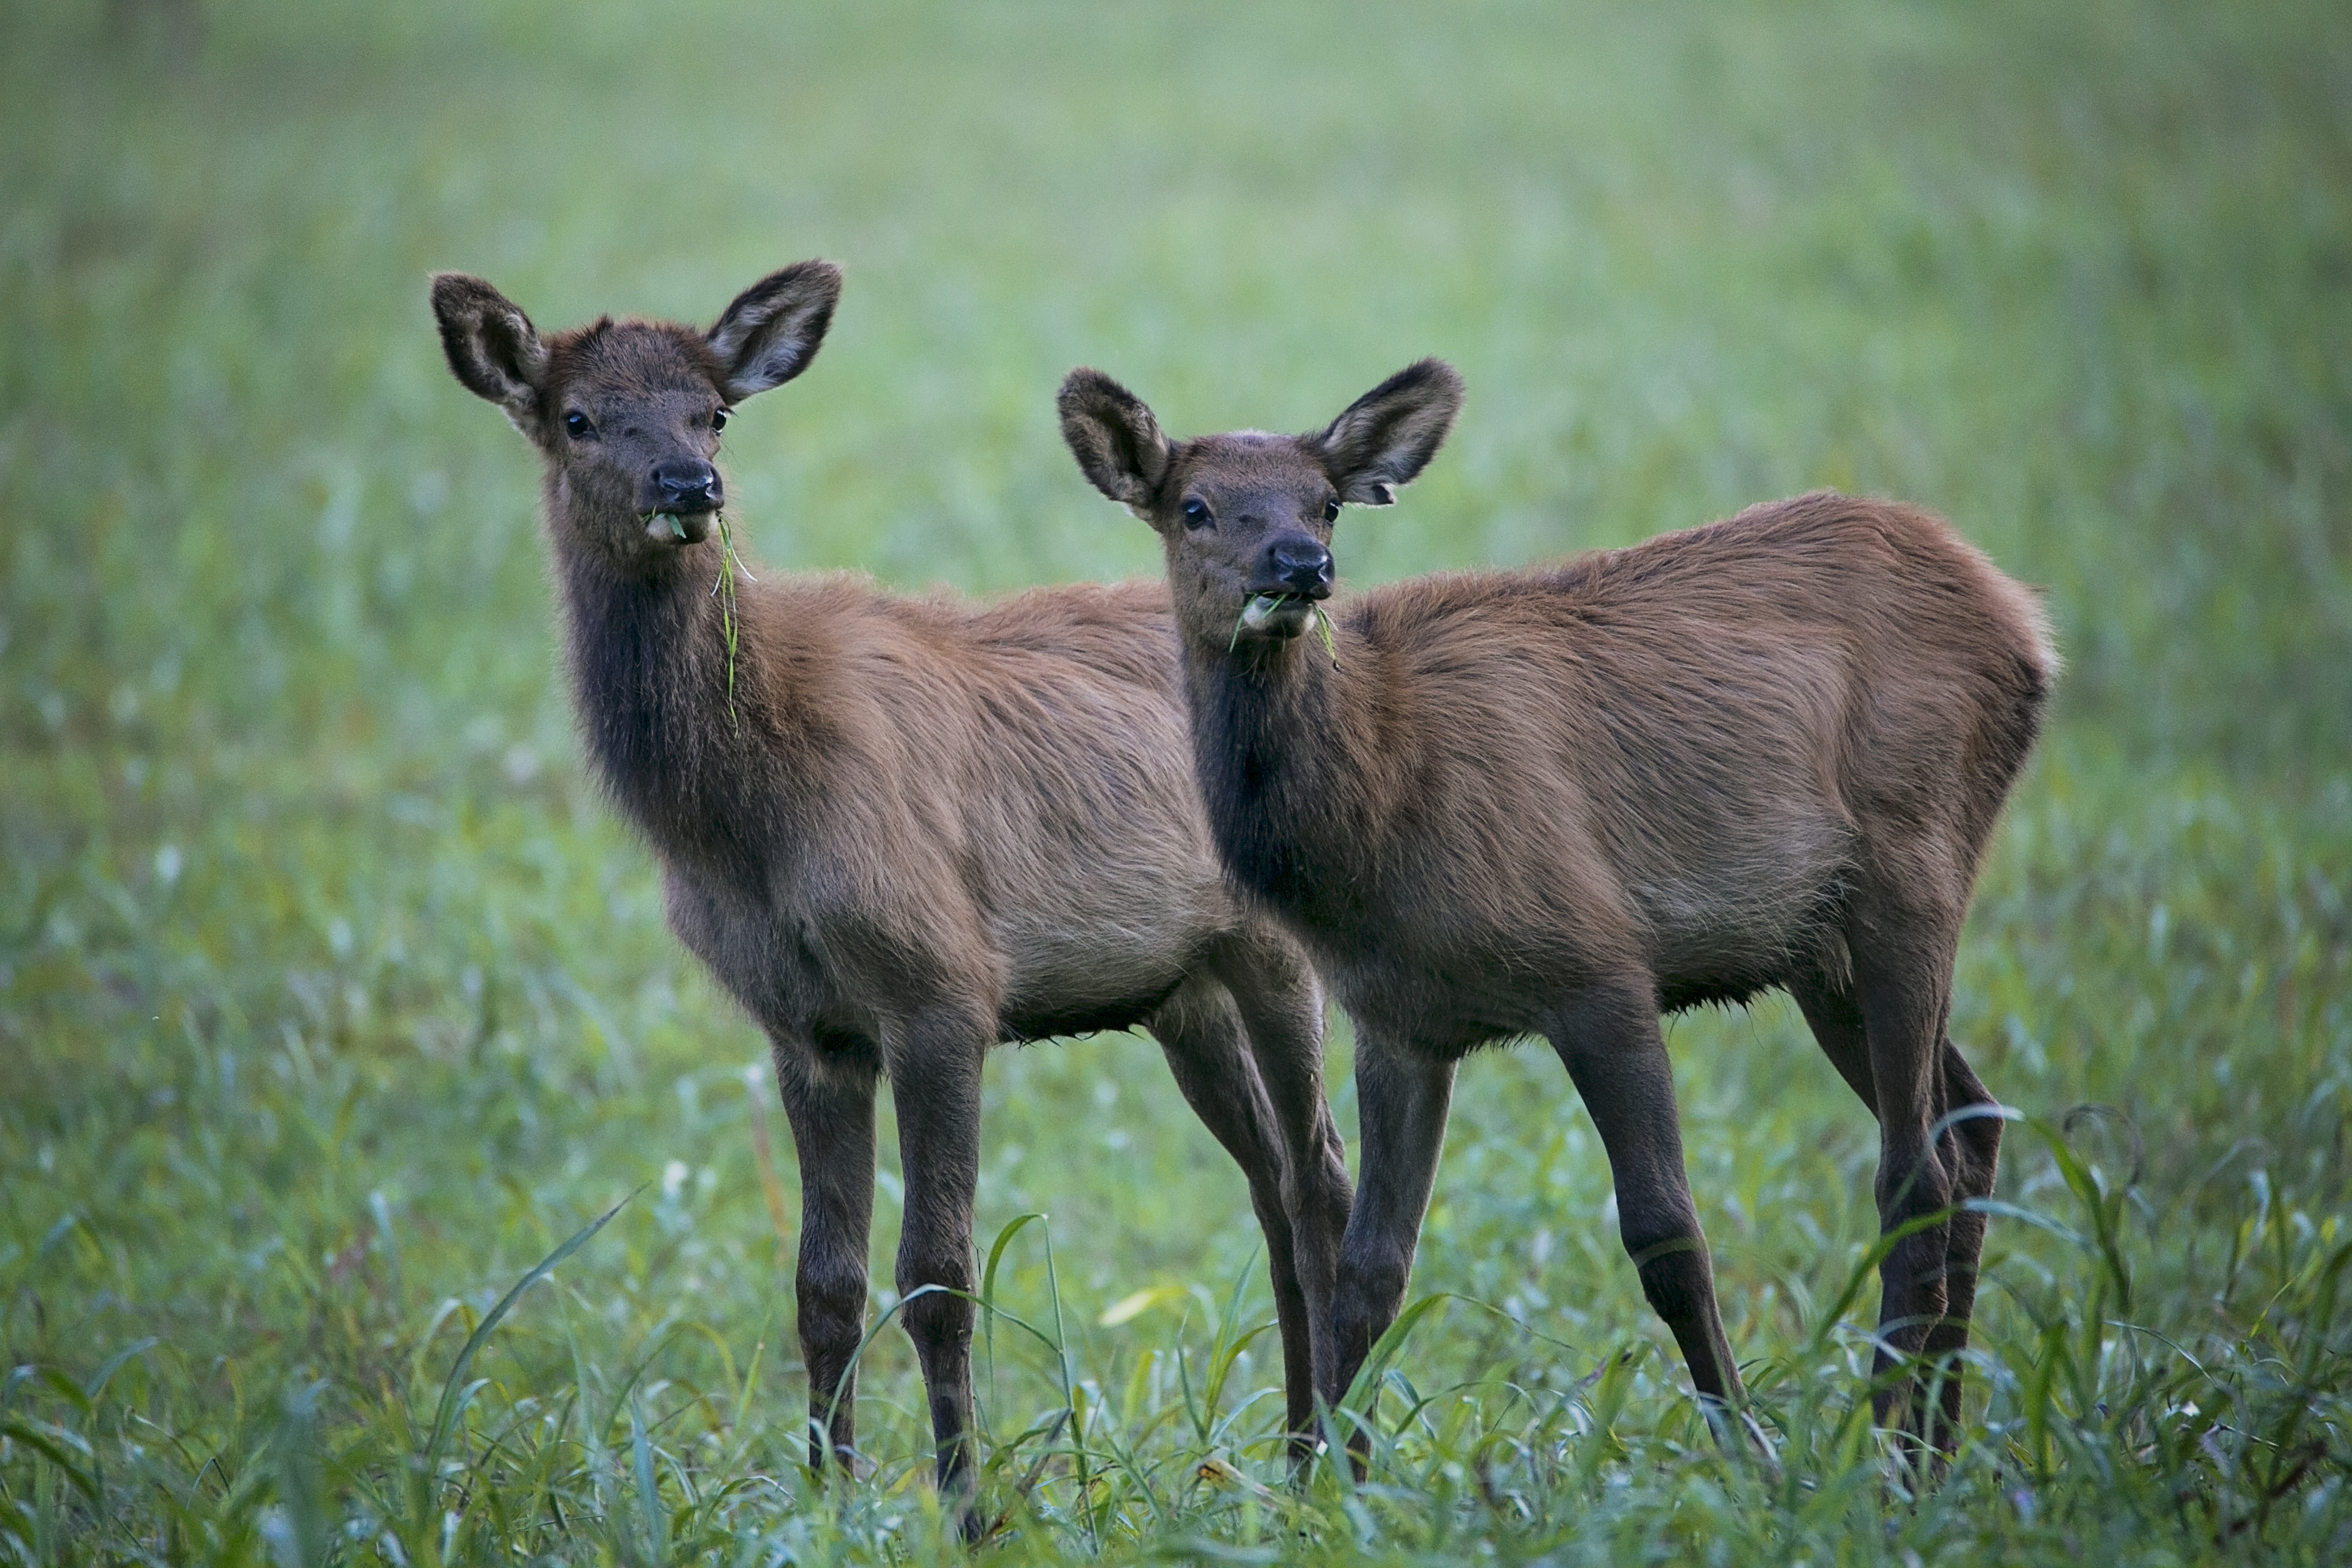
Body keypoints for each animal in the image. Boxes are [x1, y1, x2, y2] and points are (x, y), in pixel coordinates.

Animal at [428, 262, 1356, 1532]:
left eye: (713, 412)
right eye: (577, 417)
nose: (690, 486)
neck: (742, 820)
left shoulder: (940, 984)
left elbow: (938, 1278)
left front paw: (969, 1510)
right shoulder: (805, 1025)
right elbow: (825, 1280)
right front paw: (826, 1500)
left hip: (1273, 947)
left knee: (1320, 1179)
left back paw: (1329, 1463)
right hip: (1183, 992)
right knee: (1270, 1183)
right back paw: (1293, 1457)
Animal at [1059, 357, 2053, 1463]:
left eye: (1324, 502)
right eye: (1194, 507)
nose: (1300, 564)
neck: (1377, 815)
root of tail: (2023, 620)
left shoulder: (1601, 967)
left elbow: (1666, 1237)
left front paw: (1748, 1455)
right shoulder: (1398, 1021)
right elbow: (1372, 1266)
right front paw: (1331, 1482)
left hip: (1914, 863)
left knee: (1917, 1172)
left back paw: (1885, 1457)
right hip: (1822, 947)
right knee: (1973, 1127)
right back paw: (1937, 1450)